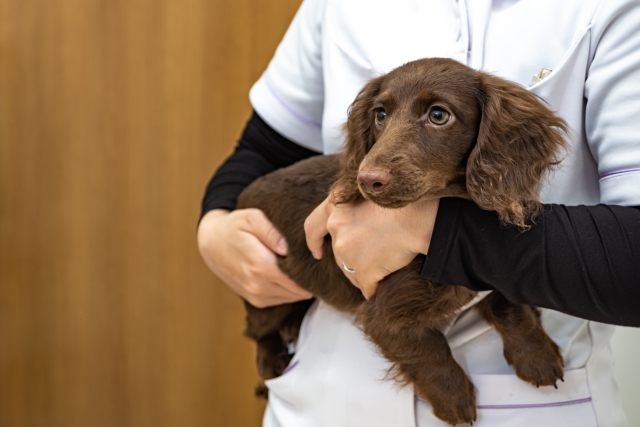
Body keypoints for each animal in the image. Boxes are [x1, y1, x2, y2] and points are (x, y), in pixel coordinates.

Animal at [238, 57, 568, 427]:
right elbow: (429, 349)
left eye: (438, 115)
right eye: (380, 115)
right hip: (267, 289)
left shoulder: (493, 268)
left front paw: (536, 356)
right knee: (257, 329)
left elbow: (509, 304)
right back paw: (271, 359)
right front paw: (453, 399)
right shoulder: (383, 314)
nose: (367, 180)